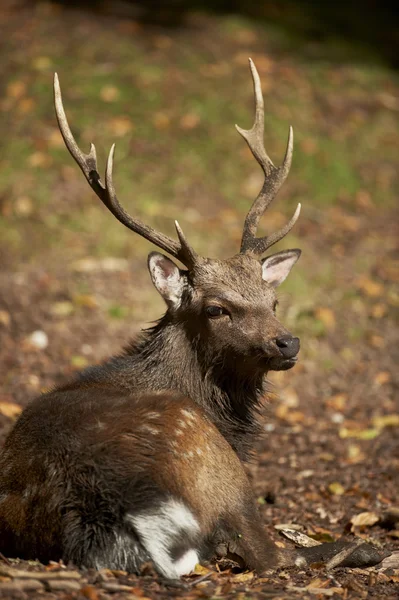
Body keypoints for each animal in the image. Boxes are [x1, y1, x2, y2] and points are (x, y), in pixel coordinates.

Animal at [0, 61, 382, 576]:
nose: (288, 342)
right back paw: (366, 548)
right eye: (216, 308)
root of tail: (105, 506)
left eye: (273, 300)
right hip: (212, 462)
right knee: (268, 555)